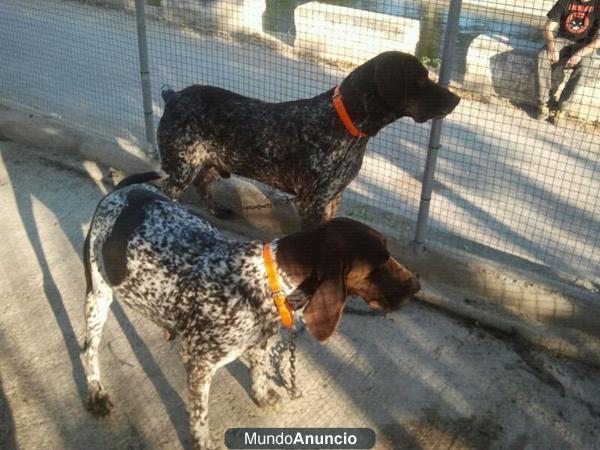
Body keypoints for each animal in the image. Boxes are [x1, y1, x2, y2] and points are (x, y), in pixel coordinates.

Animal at [82, 172, 422, 450]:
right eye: (379, 263)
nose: (417, 286)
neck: (269, 280)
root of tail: (124, 190)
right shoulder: (198, 364)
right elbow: (200, 415)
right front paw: (203, 442)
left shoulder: (259, 341)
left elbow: (258, 368)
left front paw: (260, 394)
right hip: (98, 296)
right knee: (88, 350)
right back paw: (96, 393)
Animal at [158, 51, 460, 229]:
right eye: (420, 80)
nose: (456, 99)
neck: (346, 125)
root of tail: (173, 96)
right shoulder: (311, 203)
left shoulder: (333, 197)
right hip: (181, 170)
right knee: (164, 190)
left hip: (209, 162)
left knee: (202, 183)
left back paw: (216, 209)